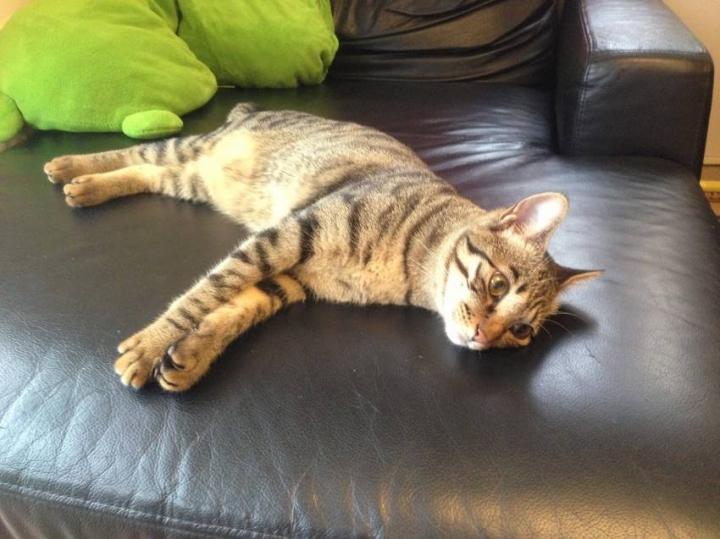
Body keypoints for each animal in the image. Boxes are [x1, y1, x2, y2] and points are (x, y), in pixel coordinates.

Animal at [43, 103, 601, 392]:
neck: (409, 276)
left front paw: (192, 355)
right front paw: (149, 345)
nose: (484, 337)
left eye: (522, 331)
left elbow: (234, 310)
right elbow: (206, 293)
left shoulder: (290, 279)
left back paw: (86, 187)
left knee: (149, 171)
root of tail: (250, 108)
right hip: (195, 149)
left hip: (194, 180)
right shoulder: (287, 236)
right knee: (139, 150)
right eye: (498, 284)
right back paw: (71, 167)